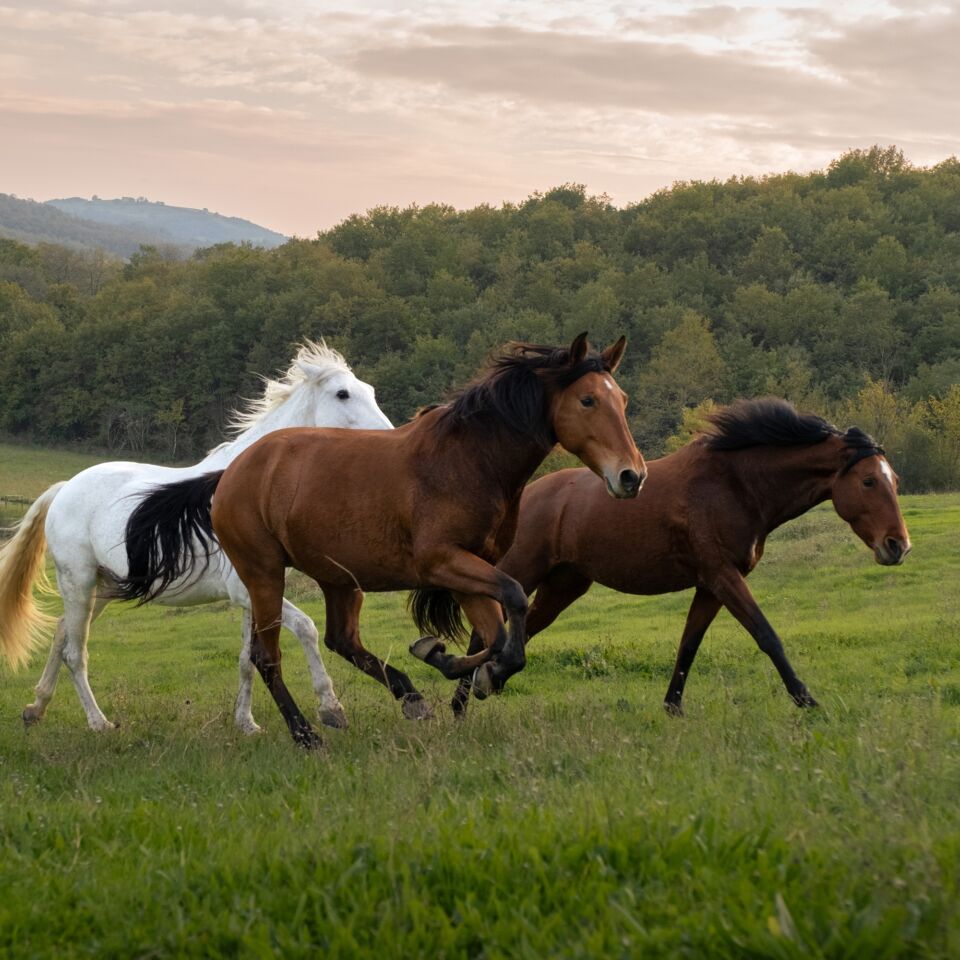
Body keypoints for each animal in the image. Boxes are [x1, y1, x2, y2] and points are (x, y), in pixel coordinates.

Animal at [0, 341, 392, 735]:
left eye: (370, 391)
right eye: (342, 394)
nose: (388, 437)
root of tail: (65, 487)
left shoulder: (257, 592)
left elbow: (247, 659)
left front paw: (246, 723)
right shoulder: (246, 591)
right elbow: (307, 629)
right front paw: (331, 708)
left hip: (103, 587)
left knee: (61, 634)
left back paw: (35, 708)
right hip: (78, 582)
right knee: (74, 651)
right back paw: (99, 723)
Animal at [117, 333, 646, 747]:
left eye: (621, 401)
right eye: (587, 401)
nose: (631, 476)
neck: (467, 461)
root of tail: (230, 473)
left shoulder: (471, 567)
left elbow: (500, 639)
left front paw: (451, 663)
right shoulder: (443, 563)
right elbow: (511, 609)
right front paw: (453, 662)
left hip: (339, 579)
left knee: (341, 640)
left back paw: (406, 698)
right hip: (264, 574)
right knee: (267, 657)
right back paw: (307, 733)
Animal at [449, 398, 912, 717]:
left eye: (894, 480)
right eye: (868, 481)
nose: (898, 545)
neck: (735, 485)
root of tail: (524, 497)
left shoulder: (710, 585)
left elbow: (689, 644)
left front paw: (672, 708)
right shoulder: (724, 576)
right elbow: (767, 635)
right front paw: (806, 700)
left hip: (564, 587)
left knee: (518, 631)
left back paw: (483, 684)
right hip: (521, 572)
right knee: (485, 634)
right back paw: (461, 704)